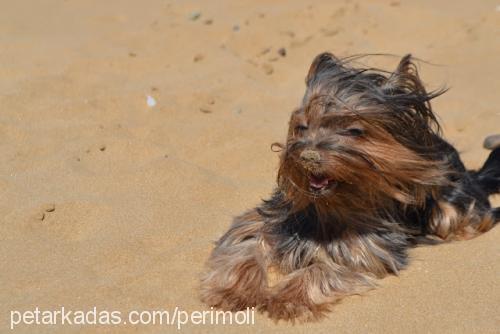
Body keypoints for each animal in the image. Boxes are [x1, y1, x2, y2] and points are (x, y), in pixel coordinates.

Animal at [200, 52, 500, 320]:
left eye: (354, 131)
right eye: (302, 127)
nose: (308, 156)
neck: (331, 205)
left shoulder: (361, 252)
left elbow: (323, 269)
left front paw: (289, 300)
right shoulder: (262, 222)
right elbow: (245, 247)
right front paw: (232, 292)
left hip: (448, 208)